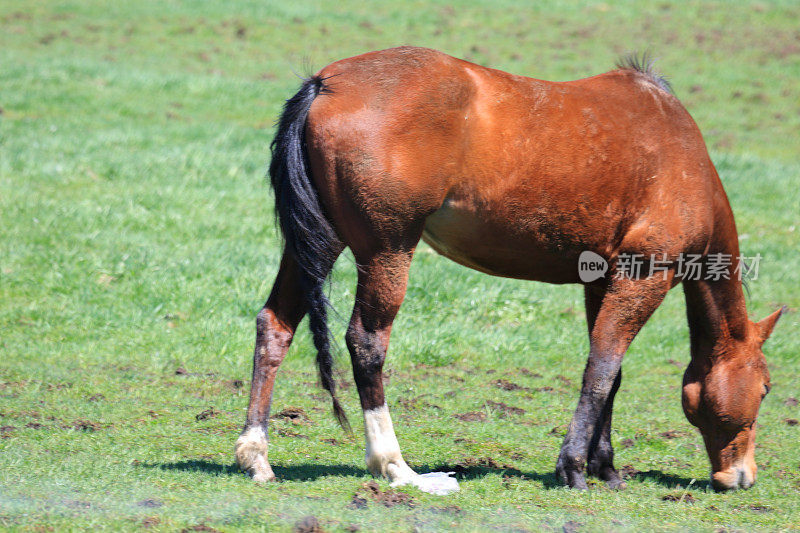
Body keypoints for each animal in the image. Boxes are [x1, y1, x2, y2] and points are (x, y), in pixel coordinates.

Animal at [234, 45, 784, 490]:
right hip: (387, 251)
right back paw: (396, 466)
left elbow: (611, 372)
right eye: (765, 388)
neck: (678, 151)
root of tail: (325, 83)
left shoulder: (602, 280)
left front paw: (604, 467)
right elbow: (601, 370)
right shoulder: (643, 276)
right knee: (366, 343)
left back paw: (256, 454)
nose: (743, 477)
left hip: (318, 245)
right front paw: (574, 468)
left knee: (275, 326)